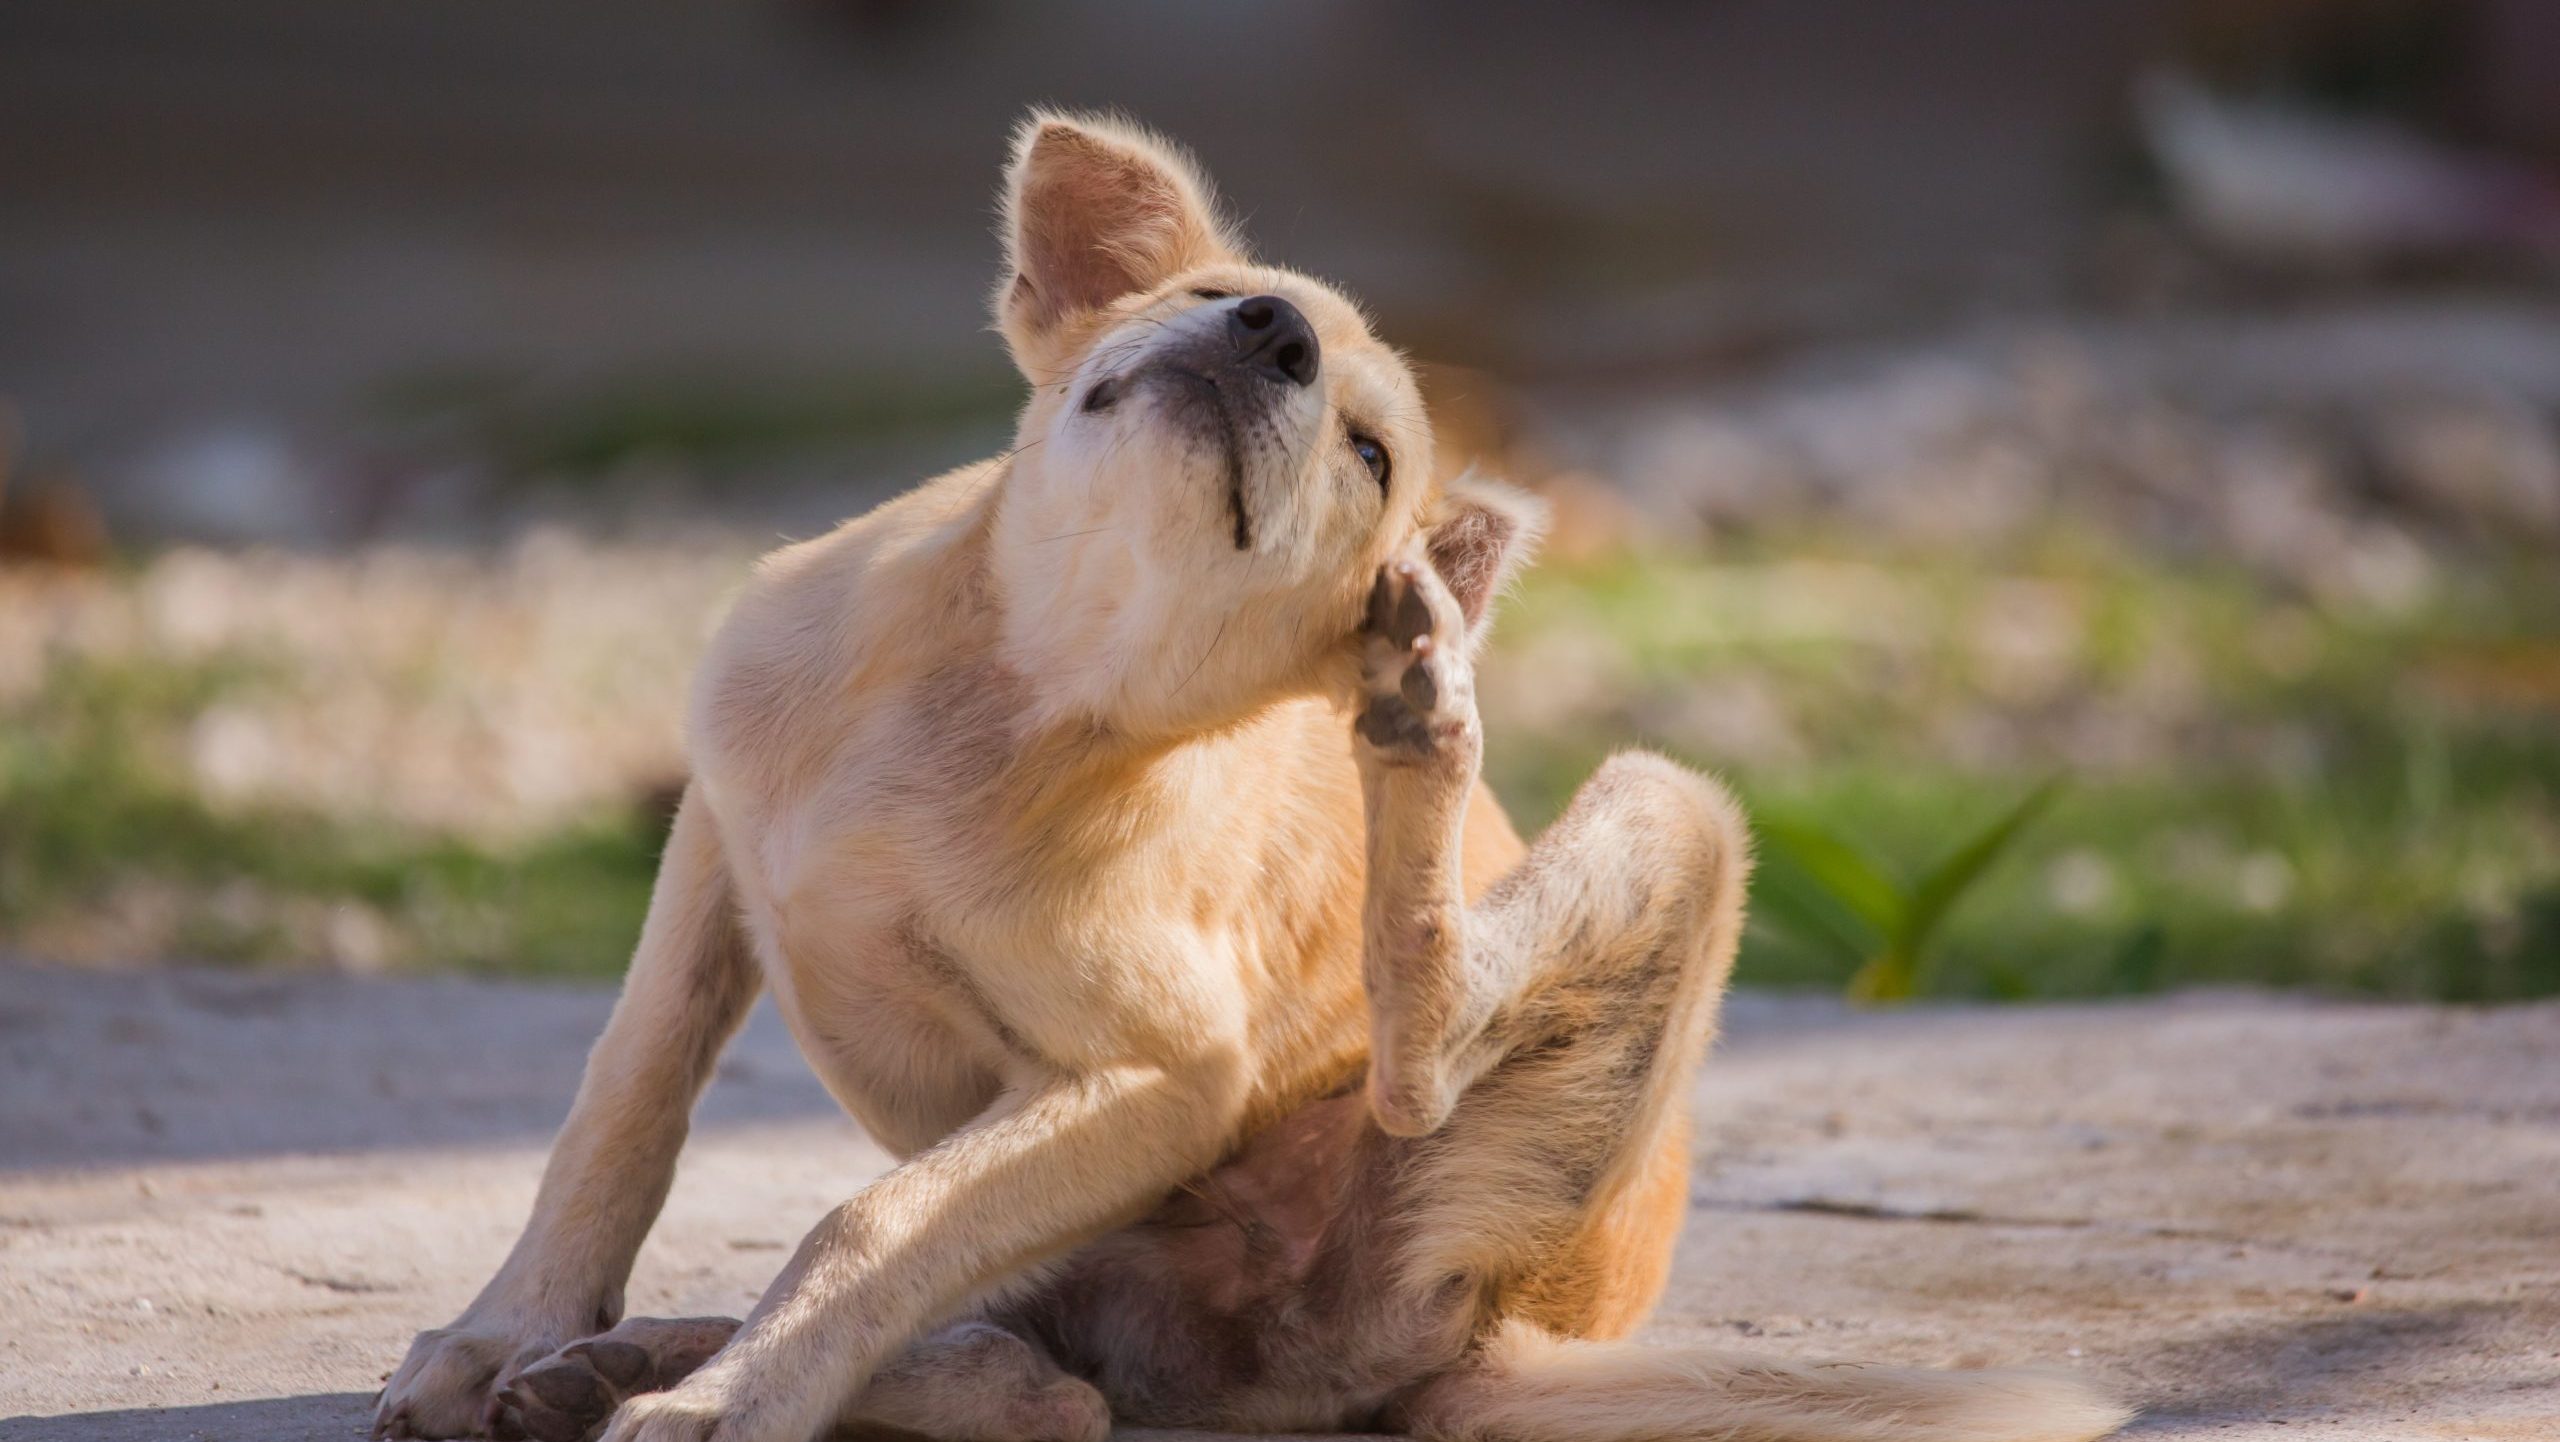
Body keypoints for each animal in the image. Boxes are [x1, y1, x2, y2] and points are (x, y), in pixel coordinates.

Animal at [371, 115, 2129, 1442]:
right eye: (1226, 292)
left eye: (1369, 452)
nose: (1267, 334)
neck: (1005, 690)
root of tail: (1507, 1347)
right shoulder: (714, 850)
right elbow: (623, 1101)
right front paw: (508, 1328)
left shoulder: (1157, 1075)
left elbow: (869, 1221)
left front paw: (736, 1399)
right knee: (1043, 1380)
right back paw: (631, 1356)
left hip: (1645, 853)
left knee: (1374, 1096)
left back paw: (1422, 725)